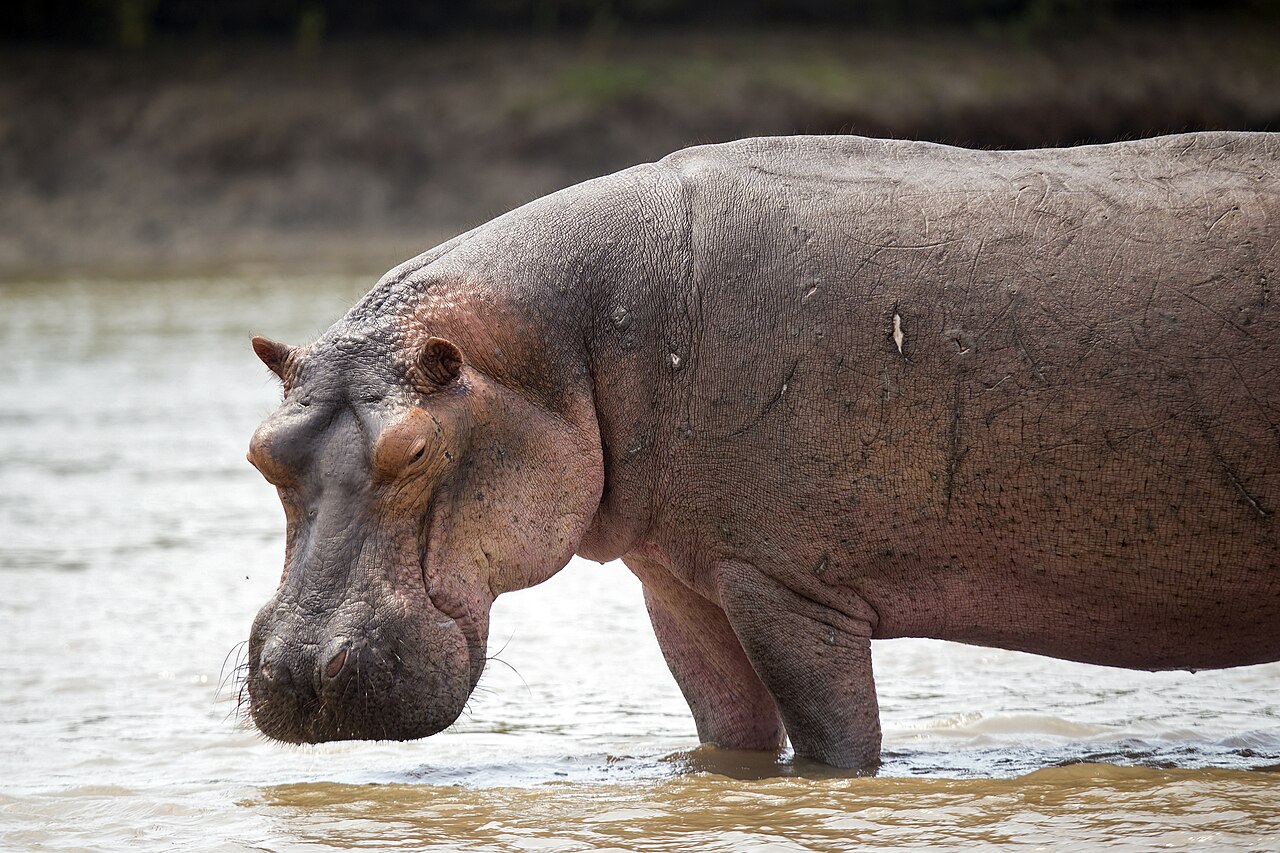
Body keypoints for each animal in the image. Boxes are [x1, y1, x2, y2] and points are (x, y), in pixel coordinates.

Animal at [245, 131, 1279, 769]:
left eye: (417, 449)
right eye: (261, 451)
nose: (296, 670)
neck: (564, 346)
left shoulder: (788, 585)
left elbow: (836, 746)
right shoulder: (681, 586)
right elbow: (728, 734)